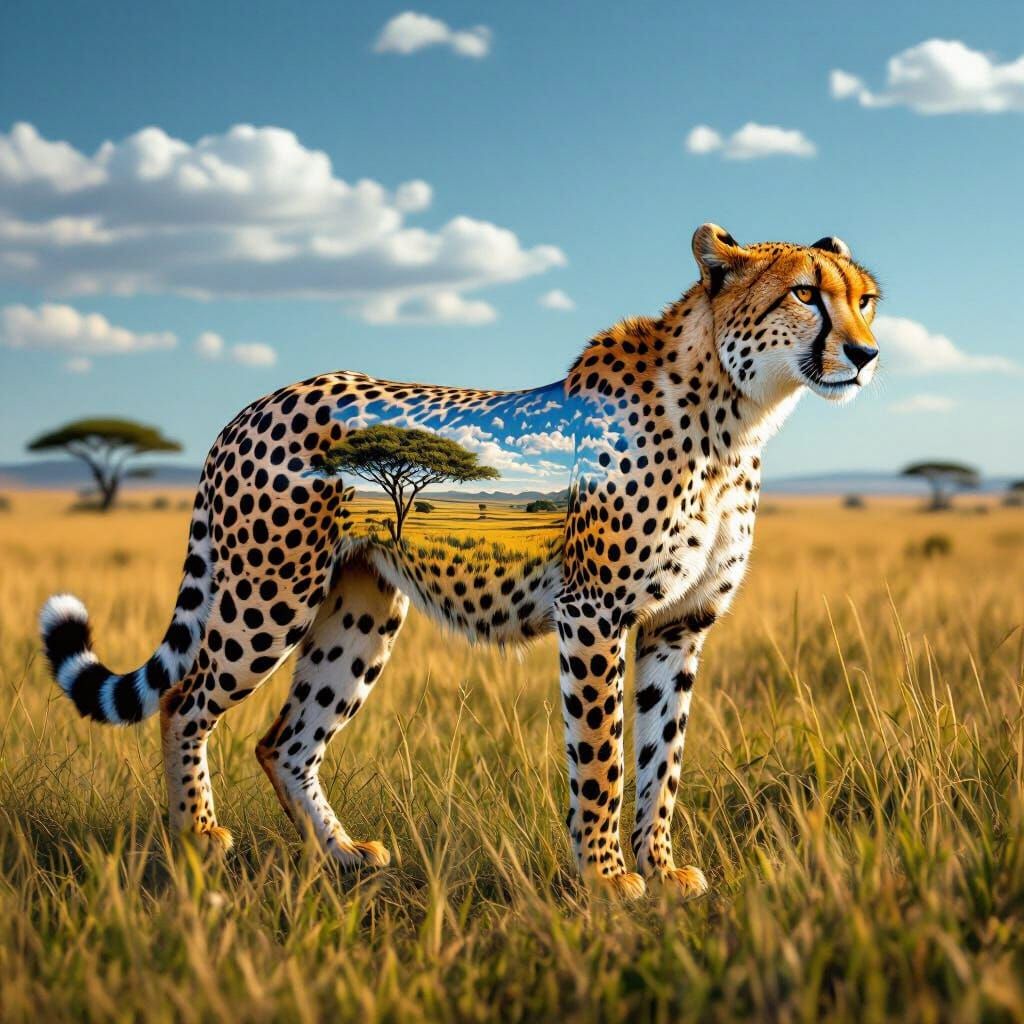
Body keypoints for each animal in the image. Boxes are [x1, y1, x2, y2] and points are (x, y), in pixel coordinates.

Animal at [39, 224, 880, 900]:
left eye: (867, 300)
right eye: (805, 294)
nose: (866, 354)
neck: (735, 415)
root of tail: (255, 405)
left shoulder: (680, 623)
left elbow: (659, 759)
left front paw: (661, 869)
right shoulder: (593, 612)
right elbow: (601, 757)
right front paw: (607, 879)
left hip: (361, 612)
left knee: (284, 739)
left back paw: (341, 854)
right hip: (267, 594)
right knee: (185, 700)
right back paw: (196, 837)